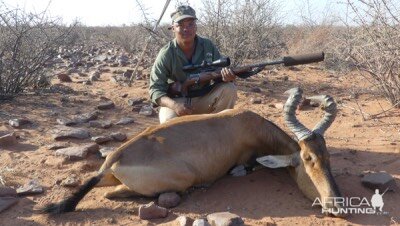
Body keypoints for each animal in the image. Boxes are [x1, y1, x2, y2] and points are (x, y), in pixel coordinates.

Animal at [39, 87, 344, 216]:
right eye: (307, 158)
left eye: (327, 157)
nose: (337, 206)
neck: (247, 124)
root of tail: (114, 159)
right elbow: (246, 167)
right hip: (182, 179)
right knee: (113, 194)